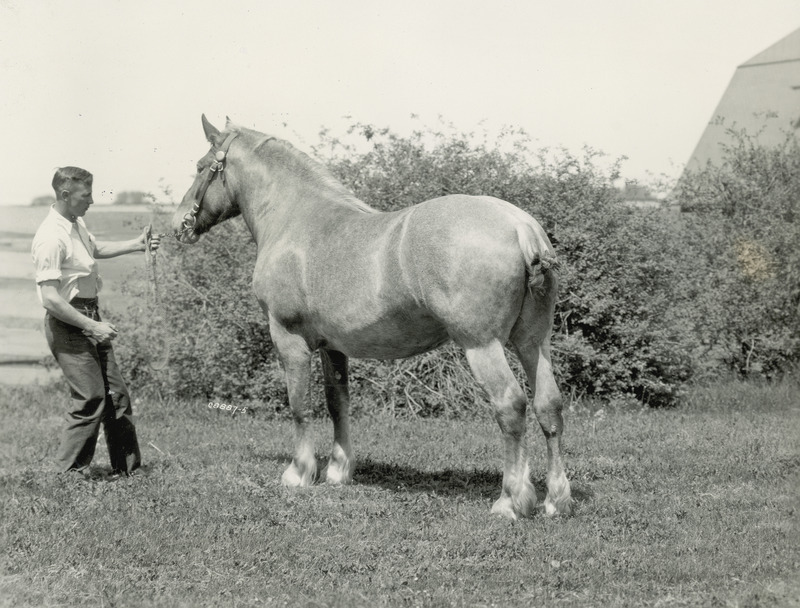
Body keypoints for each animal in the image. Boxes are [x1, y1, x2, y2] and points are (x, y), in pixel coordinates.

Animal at [172, 116, 572, 520]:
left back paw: (511, 500)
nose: (179, 225)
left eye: (201, 167)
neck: (296, 219)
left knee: (511, 406)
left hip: (482, 346)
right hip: (532, 342)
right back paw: (556, 499)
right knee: (548, 405)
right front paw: (338, 470)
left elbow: (299, 405)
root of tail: (521, 226)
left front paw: (299, 473)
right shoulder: (333, 347)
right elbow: (337, 403)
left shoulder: (289, 339)